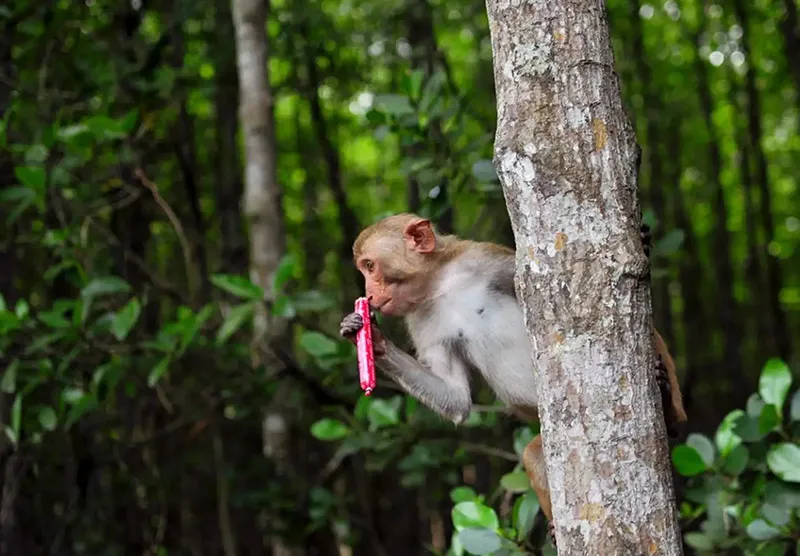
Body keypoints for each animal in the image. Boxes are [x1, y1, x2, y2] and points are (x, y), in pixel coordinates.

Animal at [338, 214, 688, 544]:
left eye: (370, 266)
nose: (368, 293)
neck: (440, 285)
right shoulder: (420, 320)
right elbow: (456, 399)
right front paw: (369, 338)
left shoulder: (484, 259)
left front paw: (644, 245)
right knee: (533, 456)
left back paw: (667, 404)